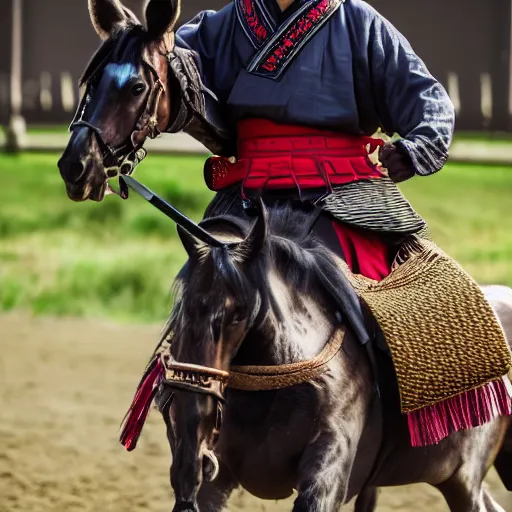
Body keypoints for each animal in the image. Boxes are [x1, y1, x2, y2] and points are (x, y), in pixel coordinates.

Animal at [56, 2, 512, 510]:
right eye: (92, 83)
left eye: (136, 86)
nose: (77, 164)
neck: (273, 358)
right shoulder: (206, 474)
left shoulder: (328, 471)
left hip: (461, 474)